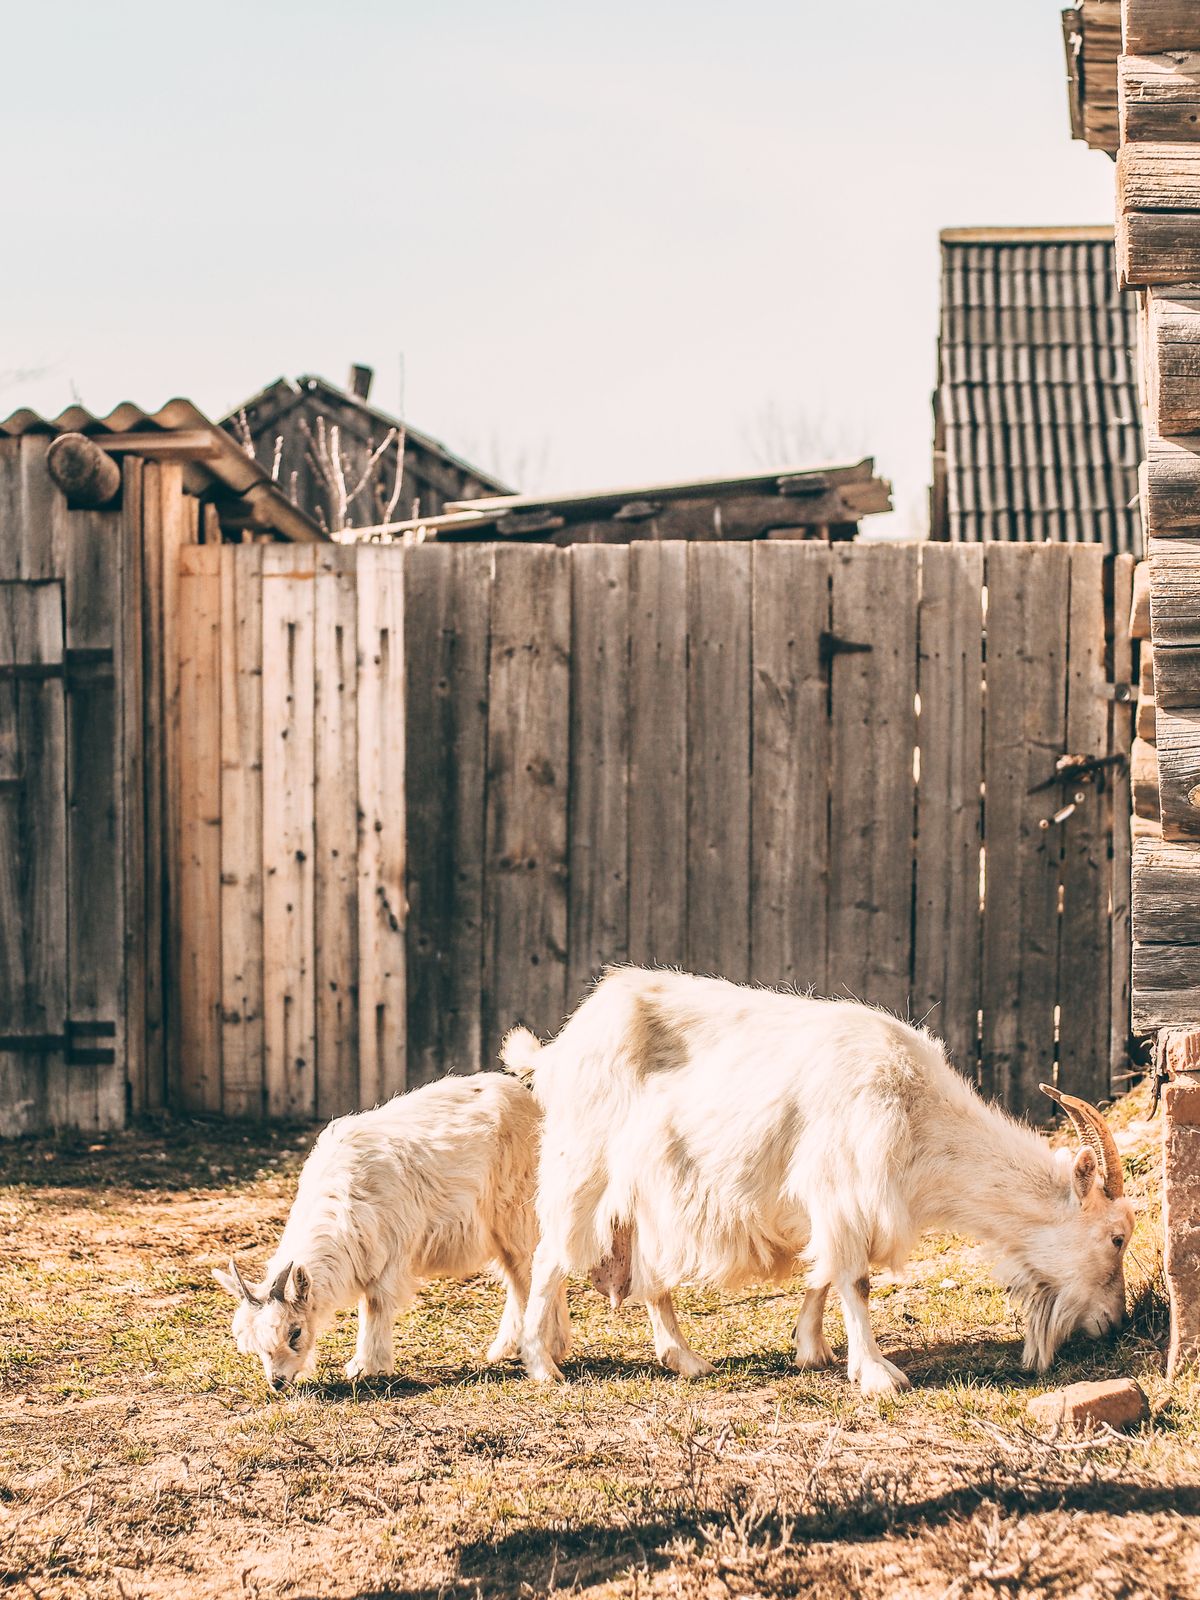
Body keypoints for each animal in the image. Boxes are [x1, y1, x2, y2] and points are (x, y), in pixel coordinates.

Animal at [214, 1073, 567, 1389]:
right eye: (255, 1346)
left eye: (295, 1332)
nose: (277, 1383)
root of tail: (529, 1099)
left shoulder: (392, 1252)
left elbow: (375, 1304)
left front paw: (367, 1366)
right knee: (518, 1278)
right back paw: (508, 1349)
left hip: (519, 1212)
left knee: (532, 1272)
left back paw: (550, 1348)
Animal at [505, 967, 1134, 1396]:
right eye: (1117, 1237)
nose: (1115, 1324)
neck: (916, 1109)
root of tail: (559, 1050)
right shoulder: (845, 1187)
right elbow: (854, 1279)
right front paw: (878, 1373)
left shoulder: (830, 1203)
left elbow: (824, 1274)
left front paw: (813, 1350)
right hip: (582, 1167)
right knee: (548, 1258)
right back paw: (542, 1365)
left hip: (645, 1193)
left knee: (647, 1273)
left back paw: (685, 1359)